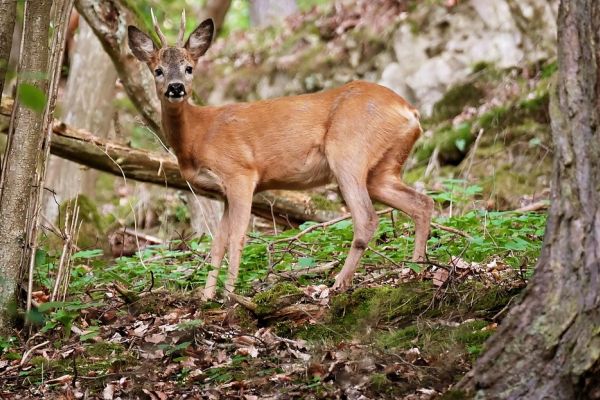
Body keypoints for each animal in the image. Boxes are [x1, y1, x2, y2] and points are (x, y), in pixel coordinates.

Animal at [129, 11, 434, 300]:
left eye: (189, 68)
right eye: (158, 70)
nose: (176, 87)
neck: (197, 134)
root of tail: (409, 112)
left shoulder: (240, 173)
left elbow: (237, 238)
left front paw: (229, 297)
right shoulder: (224, 192)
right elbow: (217, 243)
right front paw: (206, 298)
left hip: (349, 151)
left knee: (367, 218)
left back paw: (337, 284)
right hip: (383, 167)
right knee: (422, 202)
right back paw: (416, 270)